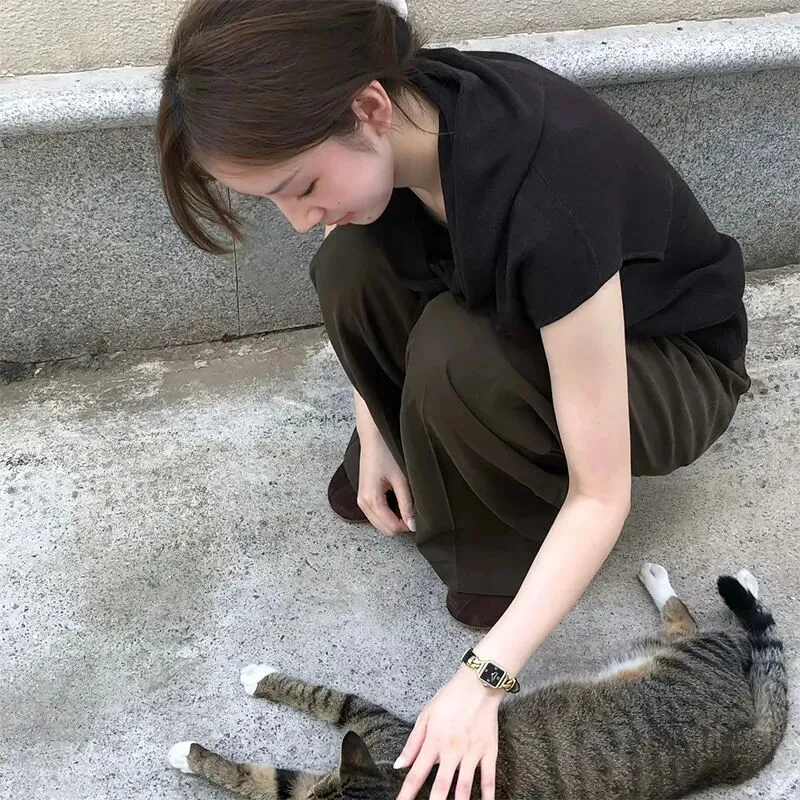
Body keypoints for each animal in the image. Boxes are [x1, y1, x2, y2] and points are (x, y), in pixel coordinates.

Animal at [168, 562, 787, 799]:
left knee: (709, 627)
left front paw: (250, 684)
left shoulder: (379, 727)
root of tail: (747, 745)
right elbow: (261, 778)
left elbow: (326, 699)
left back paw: (721, 585)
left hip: (691, 656)